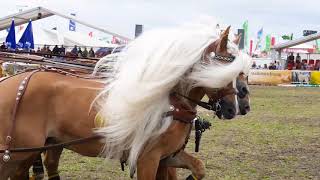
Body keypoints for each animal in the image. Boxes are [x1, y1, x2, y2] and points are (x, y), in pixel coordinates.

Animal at [0, 23, 251, 179]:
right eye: (226, 66)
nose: (234, 108)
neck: (171, 104)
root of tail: (9, 81)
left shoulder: (168, 156)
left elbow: (199, 168)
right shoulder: (147, 158)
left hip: (39, 148)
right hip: (16, 153)